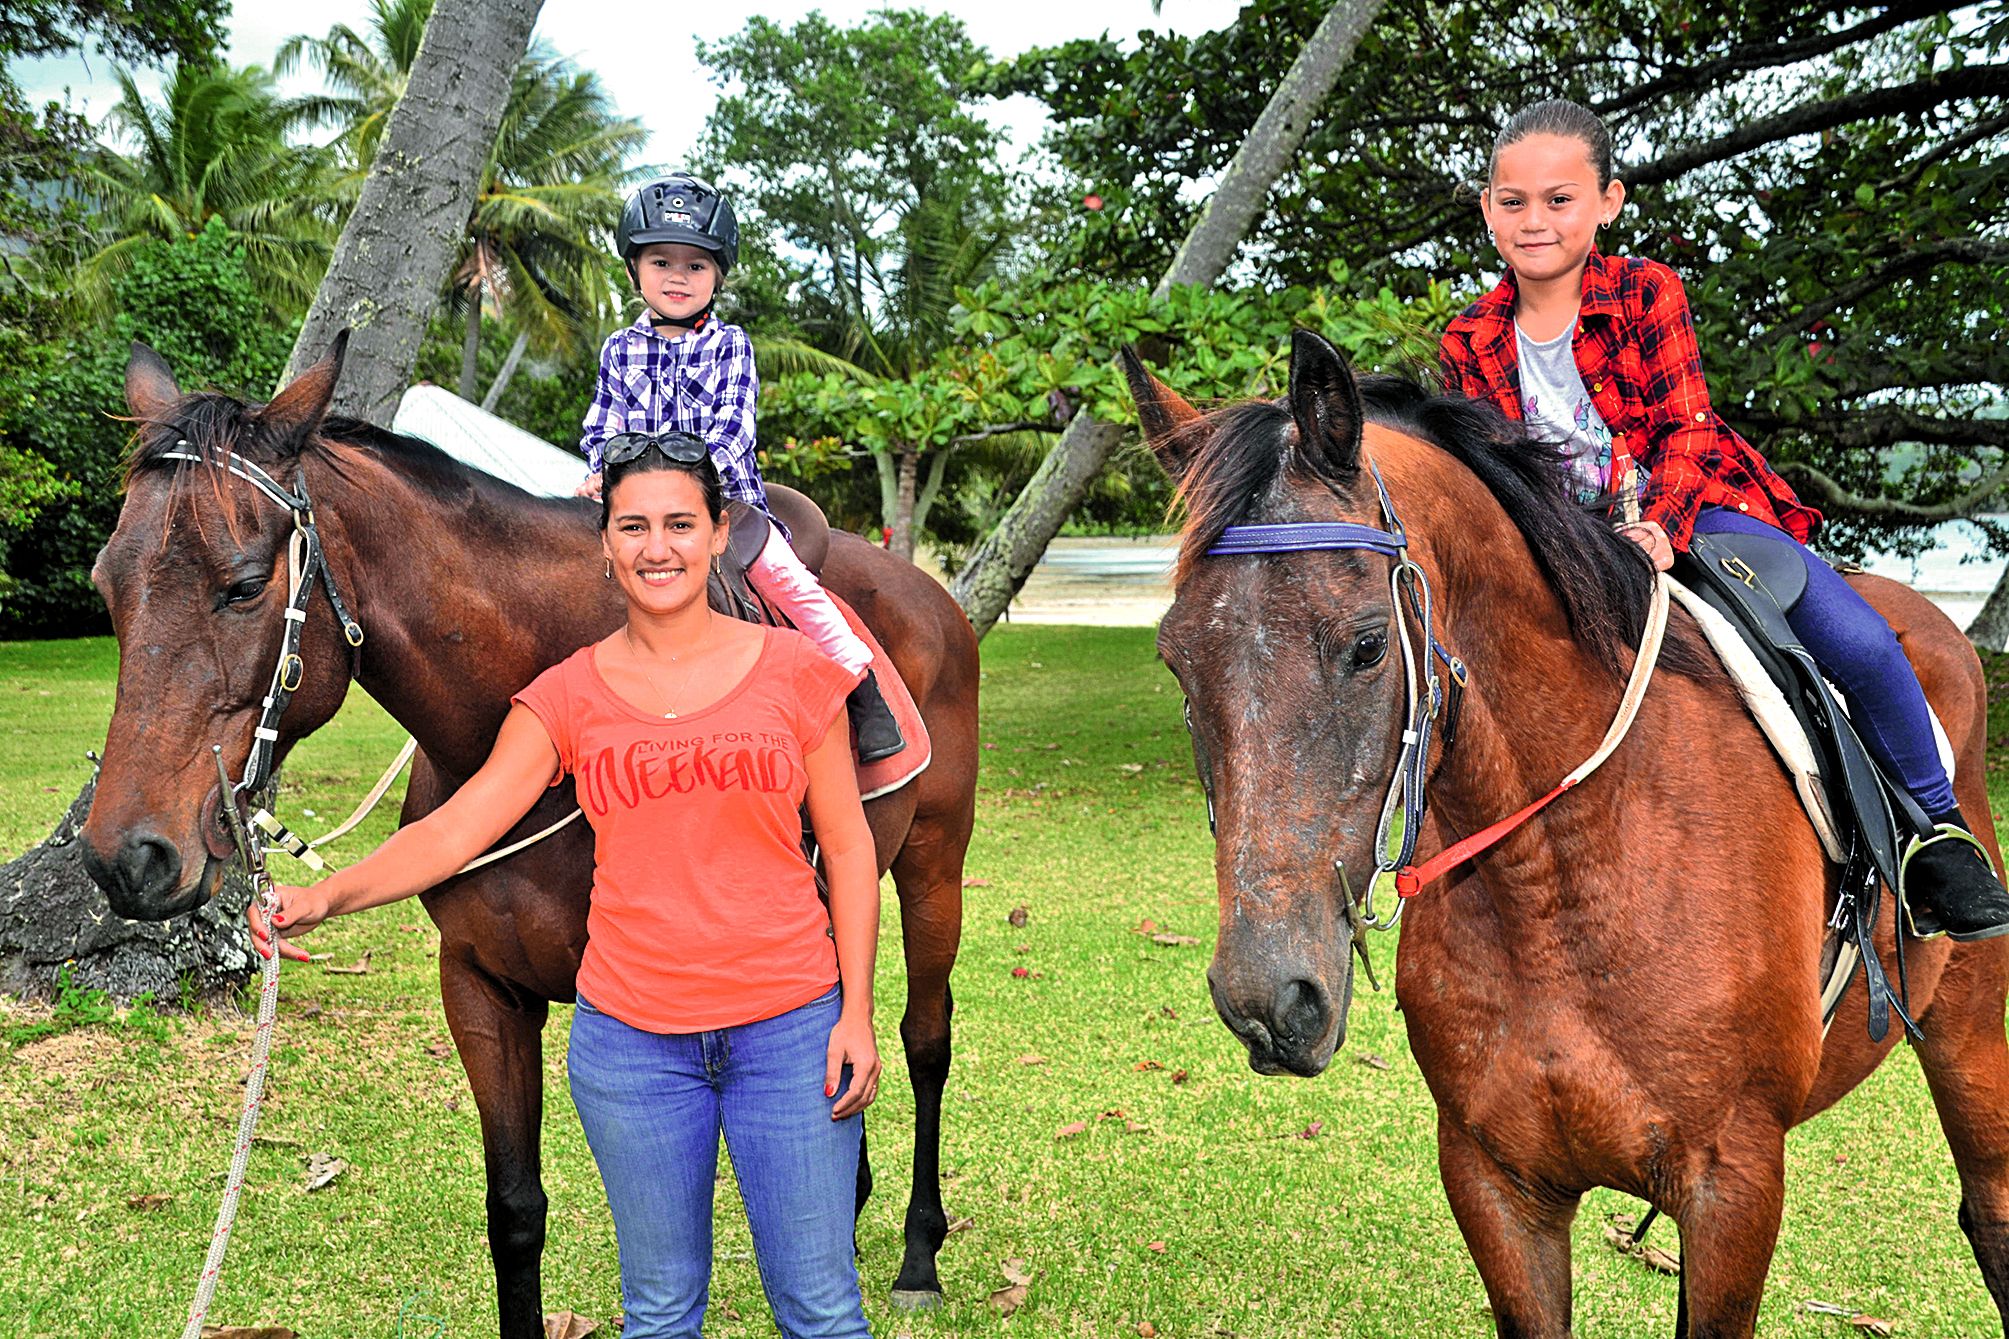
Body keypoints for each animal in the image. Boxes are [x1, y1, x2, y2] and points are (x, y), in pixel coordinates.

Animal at [82, 341, 976, 1332]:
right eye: (105, 587)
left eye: (242, 586)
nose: (126, 857)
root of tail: (925, 593)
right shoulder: (481, 986)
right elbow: (514, 1210)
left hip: (934, 863)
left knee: (922, 1038)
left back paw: (919, 1253)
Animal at [1125, 327, 2009, 1339]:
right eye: (1175, 659)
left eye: (1366, 645)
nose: (1269, 998)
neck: (1560, 882)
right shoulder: (1495, 1181)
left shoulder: (1736, 1184)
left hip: (1968, 1032)